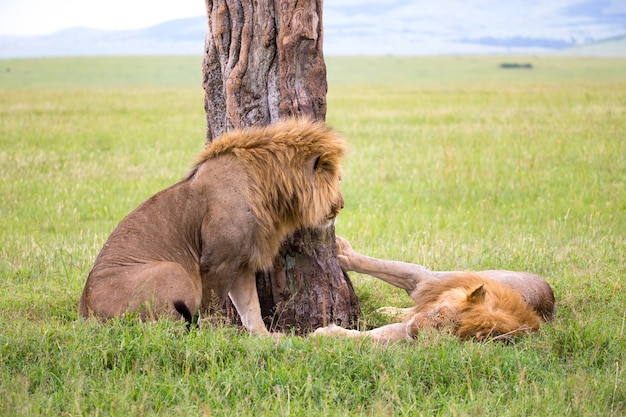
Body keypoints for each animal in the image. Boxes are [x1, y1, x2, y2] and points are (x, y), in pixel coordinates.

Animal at [78, 118, 346, 334]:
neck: (269, 189)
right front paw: (217, 337)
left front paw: (265, 338)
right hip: (174, 271)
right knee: (167, 328)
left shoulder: (241, 263)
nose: (341, 205)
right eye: (336, 178)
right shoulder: (217, 262)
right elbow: (214, 309)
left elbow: (250, 308)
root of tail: (85, 313)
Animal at [314, 237, 552, 342]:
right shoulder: (426, 280)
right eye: (439, 312)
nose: (414, 332)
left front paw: (326, 334)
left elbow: (370, 337)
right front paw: (341, 251)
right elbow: (387, 265)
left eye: (447, 332)